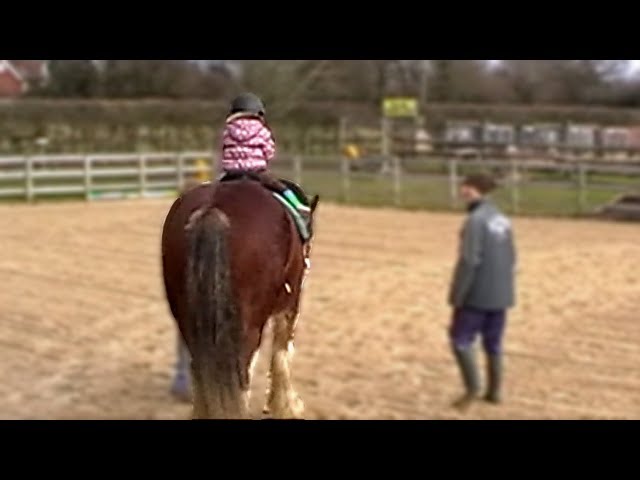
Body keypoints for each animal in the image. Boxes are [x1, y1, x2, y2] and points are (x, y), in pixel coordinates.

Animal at [161, 178, 318, 418]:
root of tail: (213, 210)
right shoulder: (290, 303)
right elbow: (281, 353)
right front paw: (286, 406)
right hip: (248, 328)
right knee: (243, 376)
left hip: (188, 320)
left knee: (201, 372)